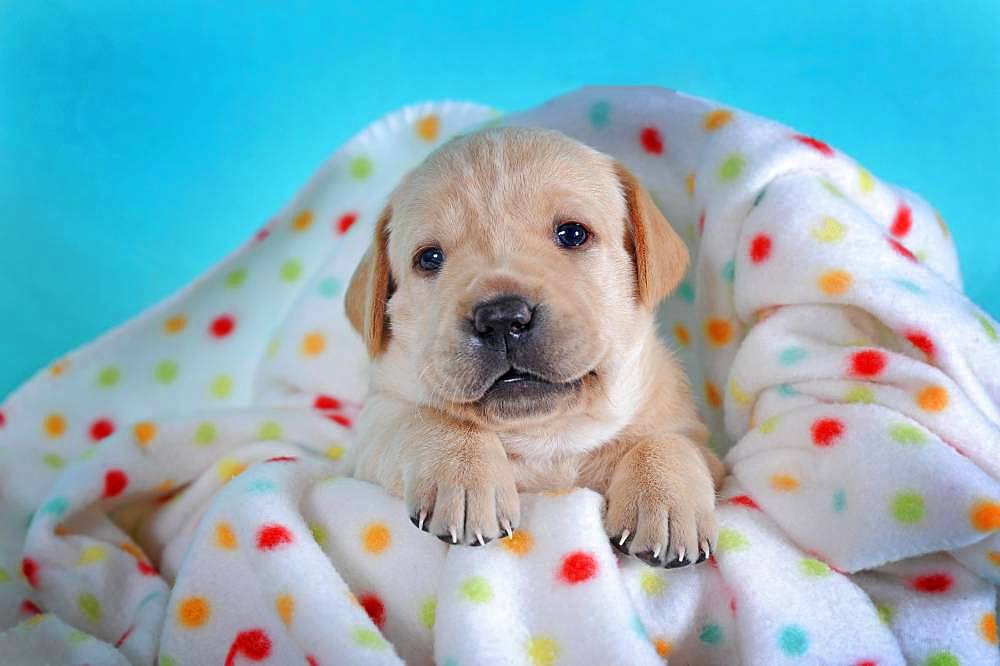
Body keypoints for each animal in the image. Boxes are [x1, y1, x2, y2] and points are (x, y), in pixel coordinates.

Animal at [344, 126, 720, 564]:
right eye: (430, 258)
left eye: (572, 234)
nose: (502, 318)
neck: (548, 437)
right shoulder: (371, 431)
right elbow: (427, 418)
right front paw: (464, 472)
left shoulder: (704, 446)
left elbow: (669, 440)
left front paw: (665, 499)